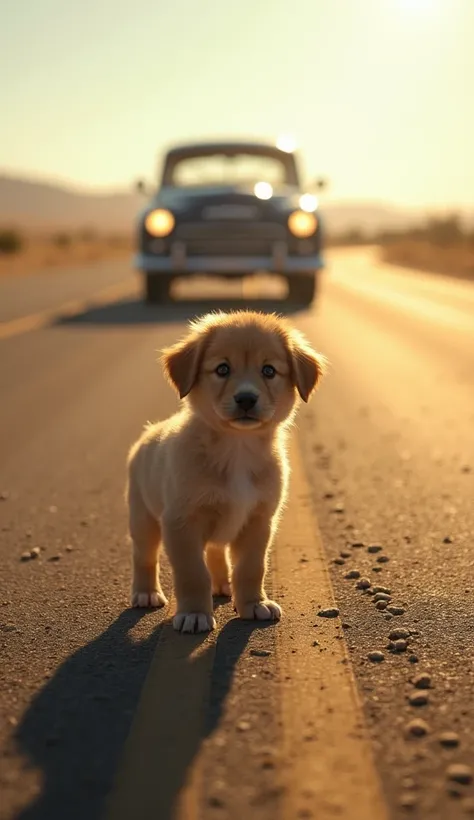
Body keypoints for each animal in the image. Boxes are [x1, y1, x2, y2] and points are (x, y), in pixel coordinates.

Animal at [126, 310, 326, 636]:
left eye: (268, 371)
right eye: (222, 369)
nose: (246, 399)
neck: (237, 450)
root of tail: (148, 433)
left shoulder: (259, 520)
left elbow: (251, 567)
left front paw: (254, 604)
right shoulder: (180, 522)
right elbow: (193, 573)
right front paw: (194, 614)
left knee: (216, 552)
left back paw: (222, 585)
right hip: (142, 518)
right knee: (144, 556)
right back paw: (145, 592)